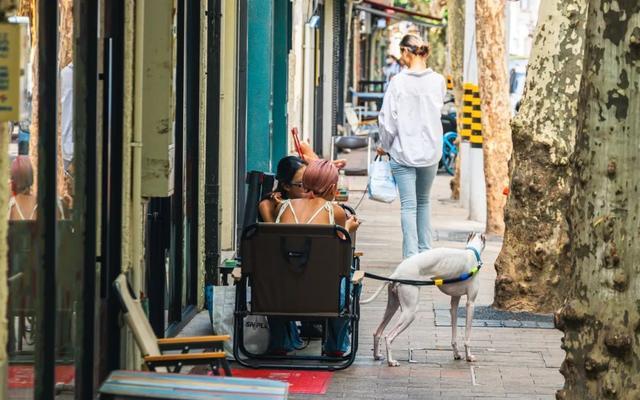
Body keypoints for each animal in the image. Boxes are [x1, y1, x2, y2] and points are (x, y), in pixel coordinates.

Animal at [360, 233, 484, 368]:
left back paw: (377, 356)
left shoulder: (454, 304)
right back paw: (391, 361)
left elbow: (454, 334)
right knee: (388, 336)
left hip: (393, 306)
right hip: (410, 312)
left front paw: (456, 354)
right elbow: (467, 336)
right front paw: (469, 357)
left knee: (377, 332)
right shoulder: (470, 304)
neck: (471, 252)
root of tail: (397, 273)